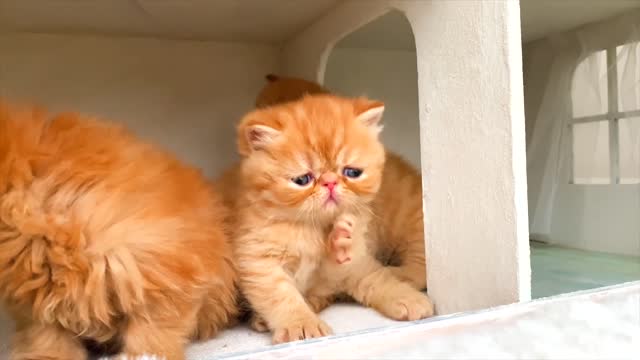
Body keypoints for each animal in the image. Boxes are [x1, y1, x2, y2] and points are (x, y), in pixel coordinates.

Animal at [0, 100, 239, 360]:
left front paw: (145, 355)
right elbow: (47, 336)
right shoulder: (37, 297)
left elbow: (151, 328)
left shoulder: (155, 266)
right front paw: (47, 356)